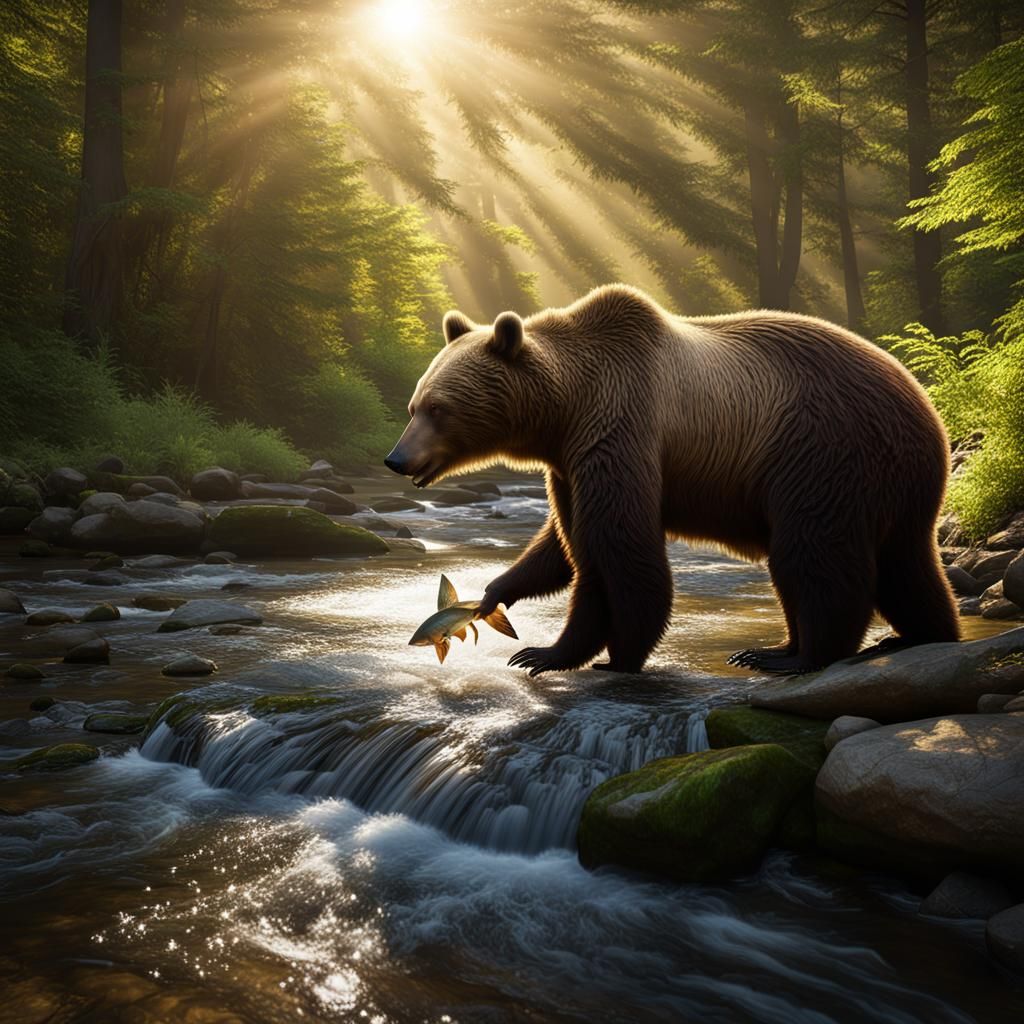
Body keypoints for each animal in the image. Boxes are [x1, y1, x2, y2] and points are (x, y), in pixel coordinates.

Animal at [384, 284, 960, 677]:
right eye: (414, 405)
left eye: (437, 408)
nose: (396, 458)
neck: (567, 409)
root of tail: (928, 408)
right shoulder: (571, 463)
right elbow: (568, 548)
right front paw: (509, 605)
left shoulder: (620, 428)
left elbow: (622, 552)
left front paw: (593, 654)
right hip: (888, 482)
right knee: (904, 564)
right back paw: (913, 636)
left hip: (823, 452)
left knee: (816, 556)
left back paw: (792, 655)